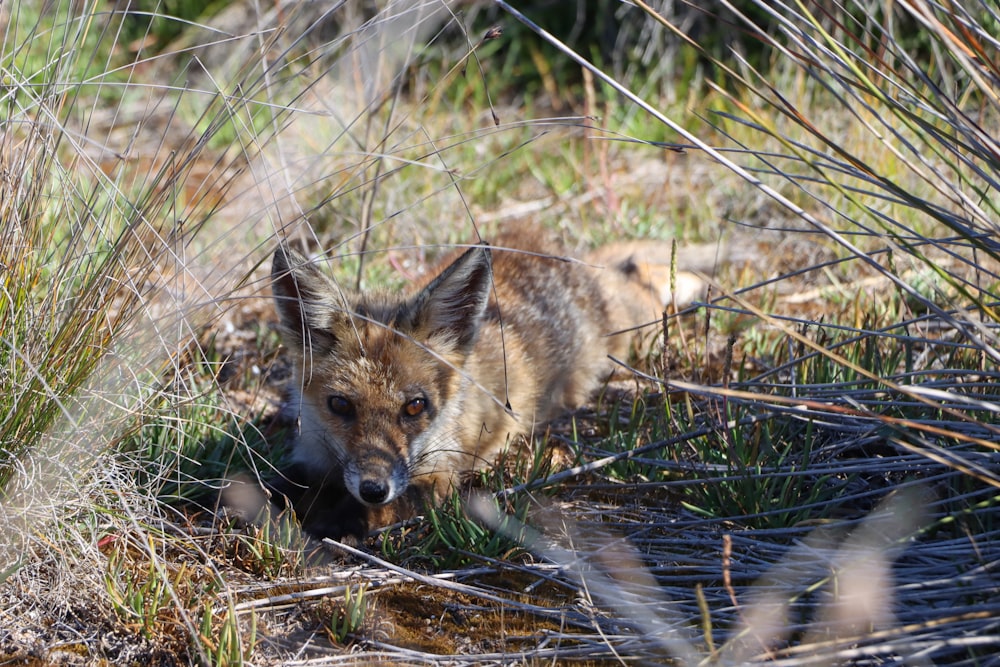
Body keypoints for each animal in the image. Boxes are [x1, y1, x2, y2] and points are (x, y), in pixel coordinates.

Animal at [268, 227, 720, 540]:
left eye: (415, 406)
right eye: (340, 405)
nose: (374, 488)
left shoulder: (441, 477)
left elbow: (382, 508)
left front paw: (331, 521)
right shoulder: (310, 456)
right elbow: (270, 482)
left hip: (633, 329)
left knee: (643, 279)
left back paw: (698, 284)